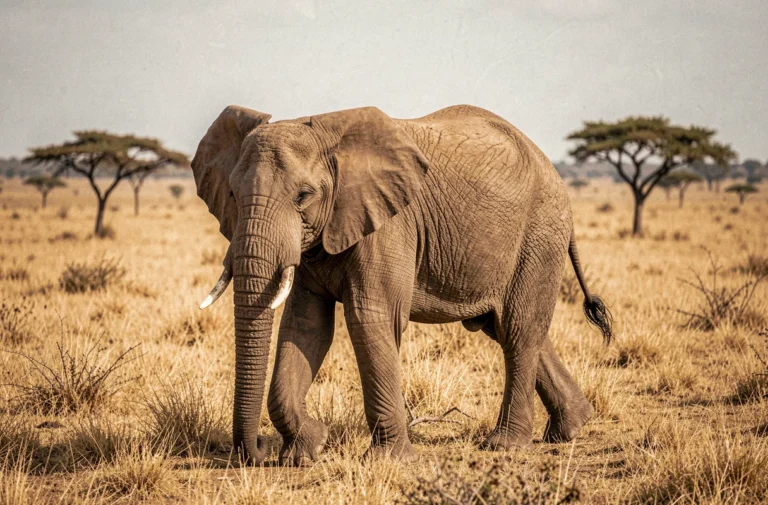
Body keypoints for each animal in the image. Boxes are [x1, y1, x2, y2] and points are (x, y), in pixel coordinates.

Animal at [191, 104, 612, 466]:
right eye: (232, 195)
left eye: (303, 196)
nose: (257, 451)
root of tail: (552, 168)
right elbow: (306, 326)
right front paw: (306, 451)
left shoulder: (391, 224)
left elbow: (370, 318)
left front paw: (386, 460)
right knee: (504, 328)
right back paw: (572, 427)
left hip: (539, 233)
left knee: (518, 331)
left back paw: (505, 445)